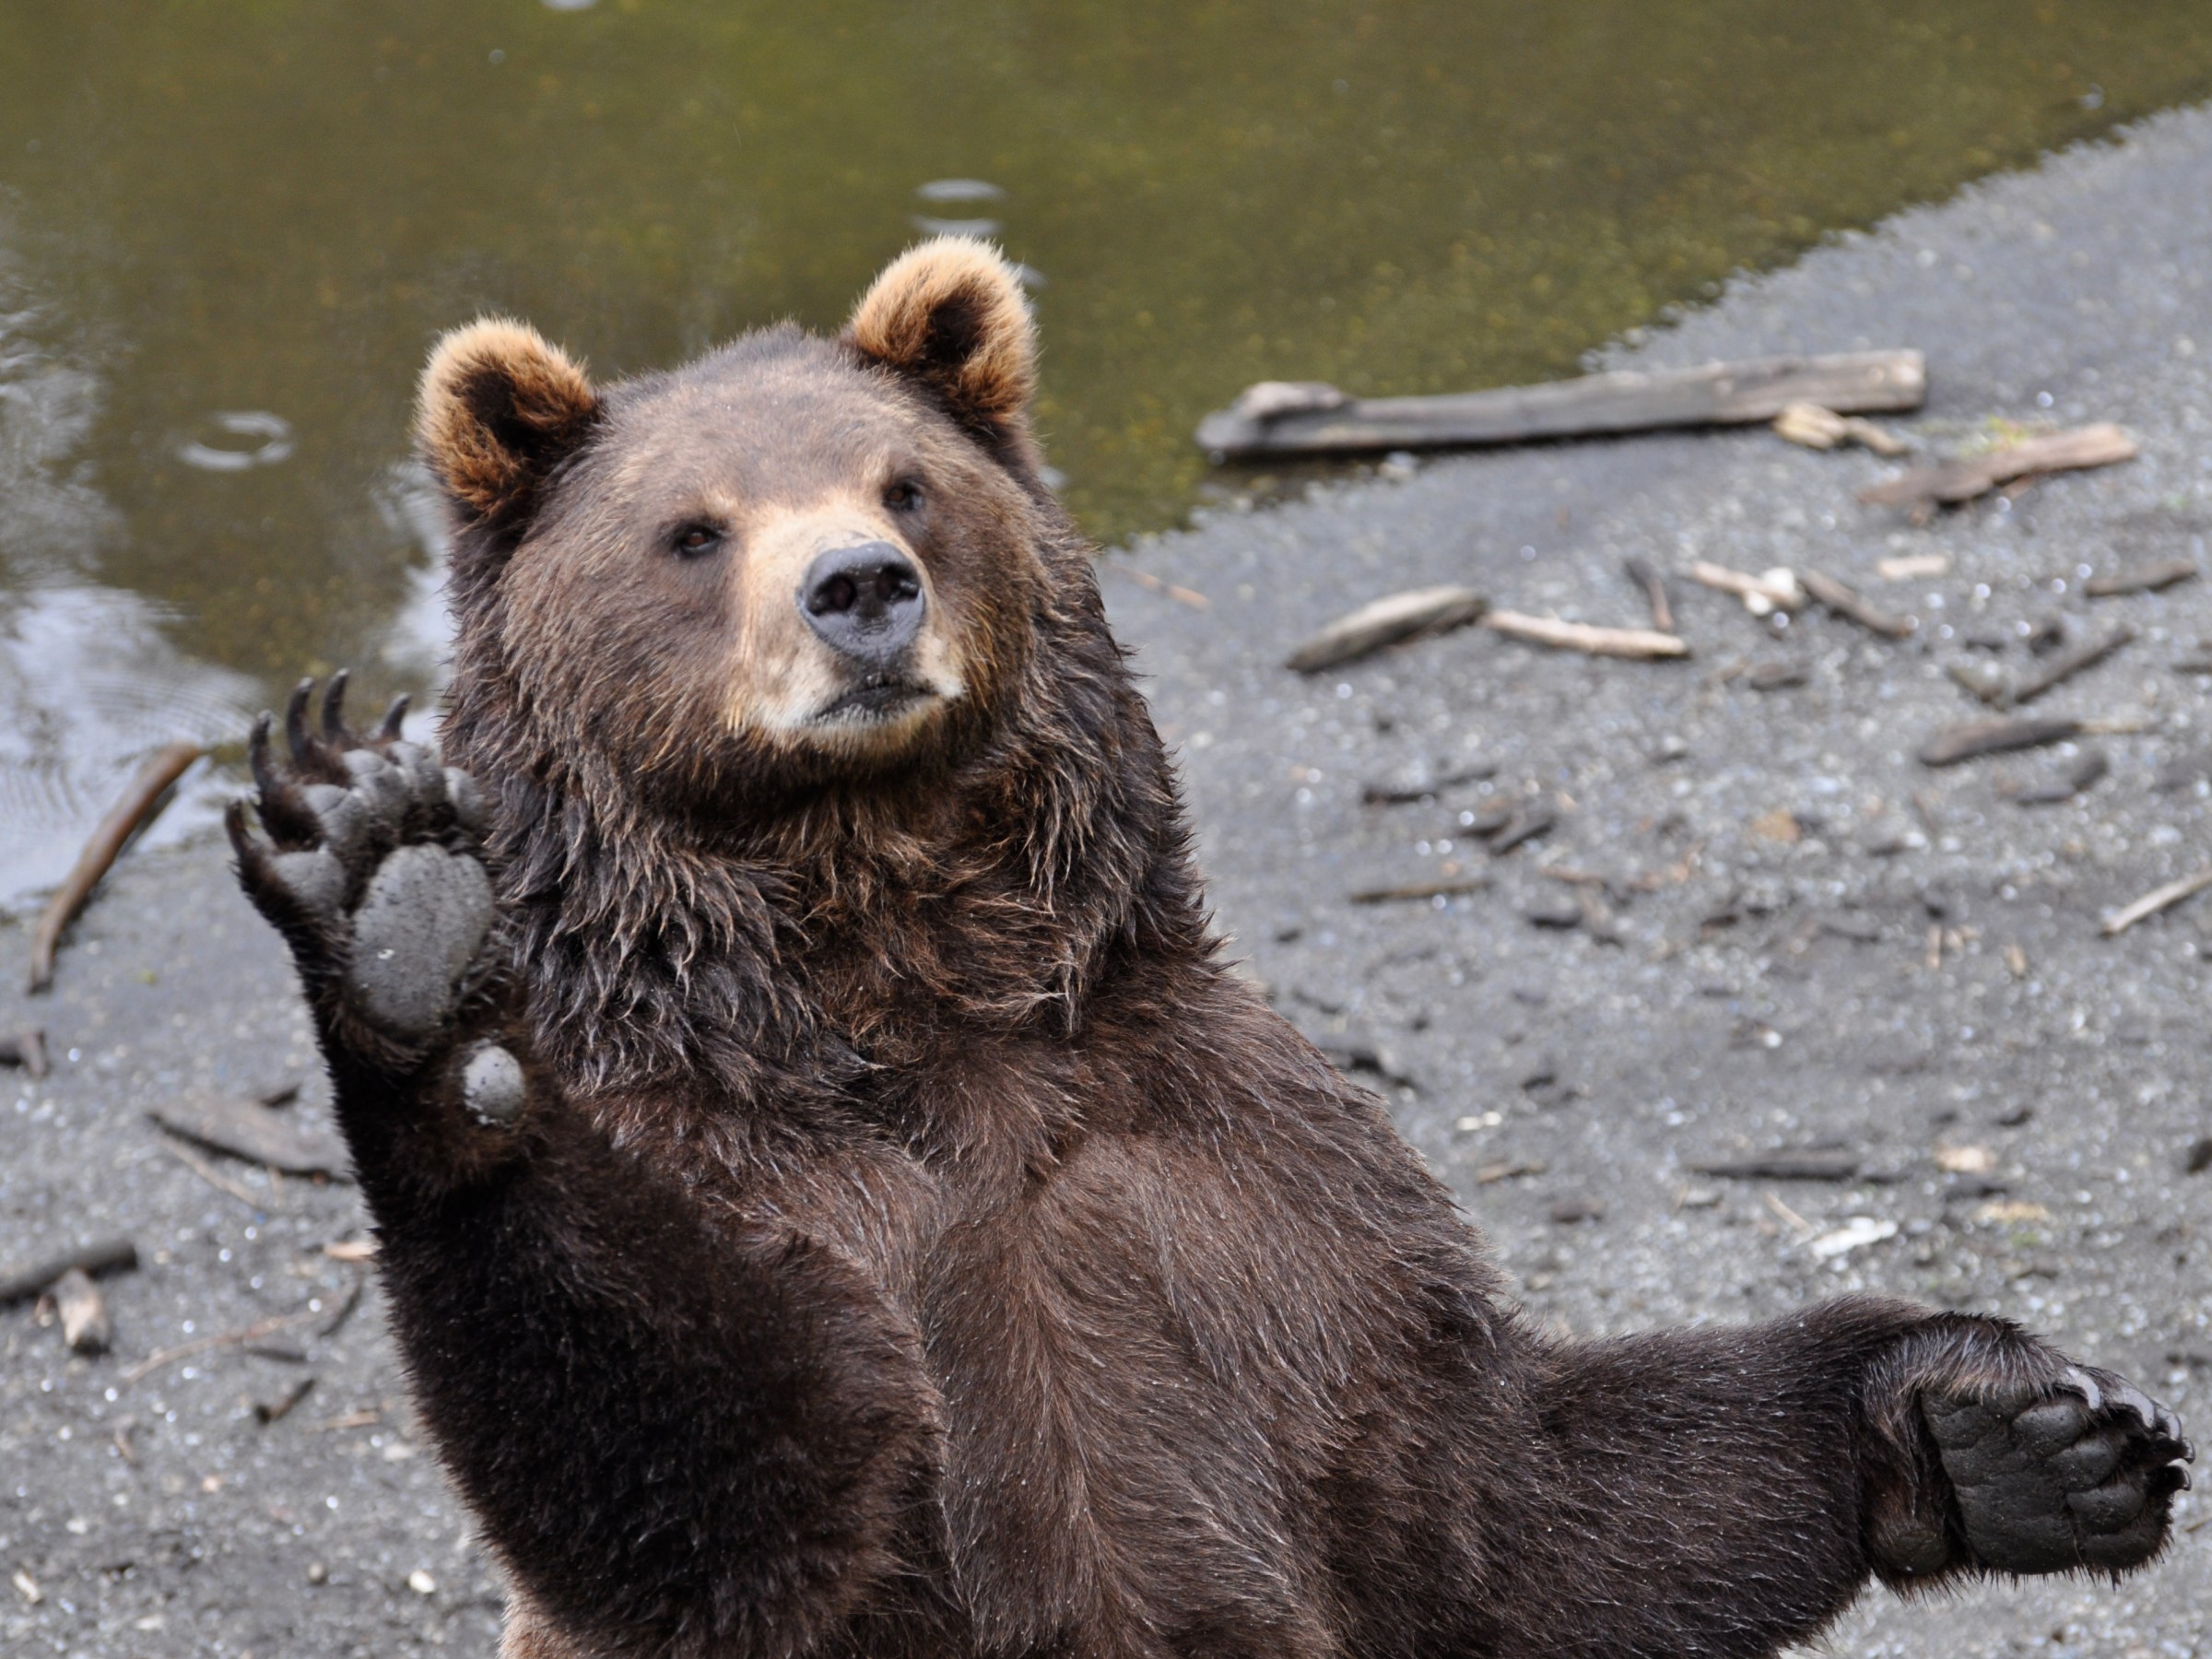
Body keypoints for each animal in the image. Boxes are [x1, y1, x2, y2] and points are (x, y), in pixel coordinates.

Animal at [229, 236, 2190, 1659]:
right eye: (691, 528)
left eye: (906, 483)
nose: (858, 588)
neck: (914, 996)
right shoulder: (777, 1198)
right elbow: (722, 1468)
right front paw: (406, 932)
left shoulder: (1239, 1202)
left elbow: (1514, 1506)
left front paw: (2012, 1430)